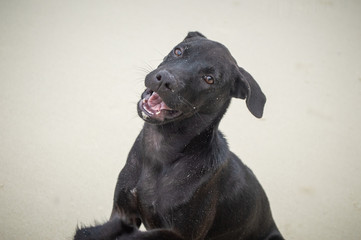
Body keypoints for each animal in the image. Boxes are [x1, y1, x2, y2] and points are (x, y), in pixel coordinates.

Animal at [76, 32, 282, 240]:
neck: (159, 150)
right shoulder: (122, 209)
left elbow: (143, 236)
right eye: (178, 51)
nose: (164, 79)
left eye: (209, 79)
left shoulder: (182, 233)